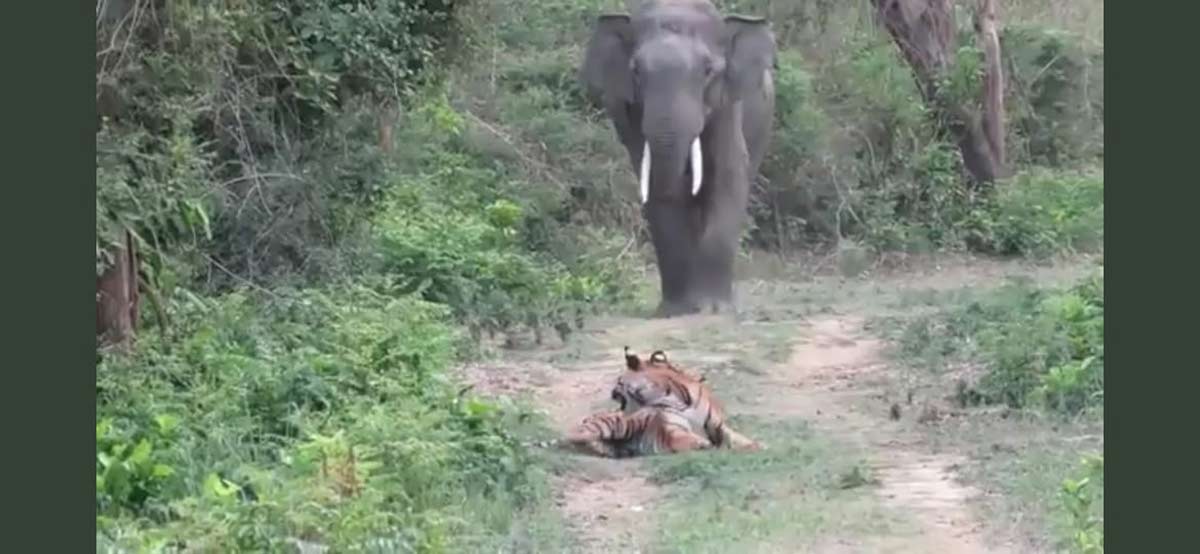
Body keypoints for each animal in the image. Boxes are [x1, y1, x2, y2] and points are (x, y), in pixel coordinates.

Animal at [581, 0, 777, 318]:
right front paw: (676, 310)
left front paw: (714, 309)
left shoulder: (726, 106)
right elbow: (655, 187)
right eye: (635, 71)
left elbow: (729, 176)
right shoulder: (628, 114)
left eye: (708, 70)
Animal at [612, 347, 761, 451]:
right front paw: (704, 444)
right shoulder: (672, 430)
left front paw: (758, 446)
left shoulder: (718, 425)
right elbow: (686, 440)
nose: (612, 393)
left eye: (619, 381)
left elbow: (738, 438)